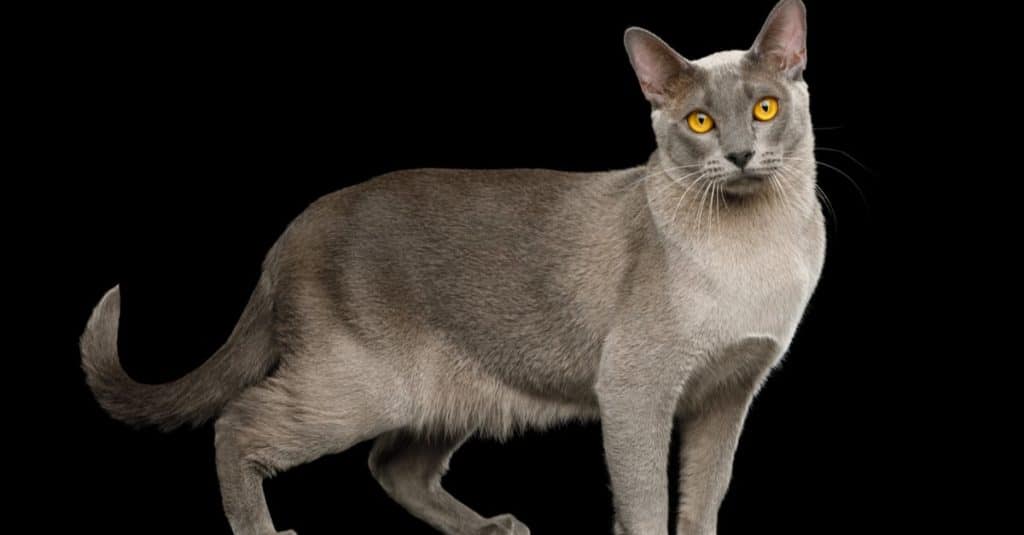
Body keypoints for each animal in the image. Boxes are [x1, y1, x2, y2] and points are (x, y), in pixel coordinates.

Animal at [83, 2, 827, 528]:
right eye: (701, 122)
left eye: (764, 108)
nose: (739, 154)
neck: (753, 252)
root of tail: (289, 234)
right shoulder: (636, 389)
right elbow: (644, 506)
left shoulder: (728, 394)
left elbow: (701, 501)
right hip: (366, 387)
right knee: (238, 423)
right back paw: (264, 533)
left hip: (447, 393)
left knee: (394, 465)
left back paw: (494, 528)